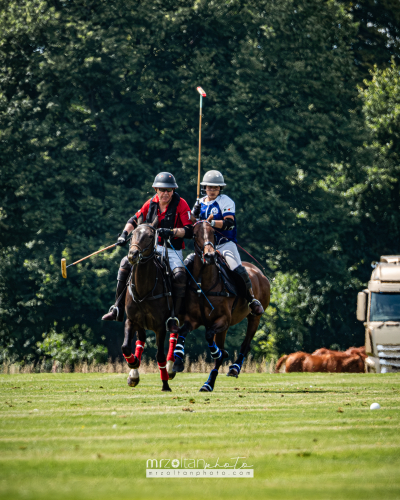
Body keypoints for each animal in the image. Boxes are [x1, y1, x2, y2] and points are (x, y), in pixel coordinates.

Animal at [122, 217, 177, 392]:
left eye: (150, 236)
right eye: (132, 234)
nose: (133, 255)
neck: (143, 291)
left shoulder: (160, 326)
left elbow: (159, 355)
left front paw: (165, 383)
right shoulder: (131, 320)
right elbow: (125, 346)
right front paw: (133, 363)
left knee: (175, 333)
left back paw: (170, 368)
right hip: (141, 324)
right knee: (141, 340)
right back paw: (134, 374)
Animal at [173, 221, 270, 392]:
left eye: (213, 232)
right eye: (195, 234)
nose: (210, 256)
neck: (204, 285)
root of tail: (259, 272)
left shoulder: (223, 320)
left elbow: (209, 337)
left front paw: (220, 354)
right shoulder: (193, 320)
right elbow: (184, 331)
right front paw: (177, 361)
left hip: (254, 317)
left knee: (245, 343)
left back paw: (232, 369)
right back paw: (208, 382)